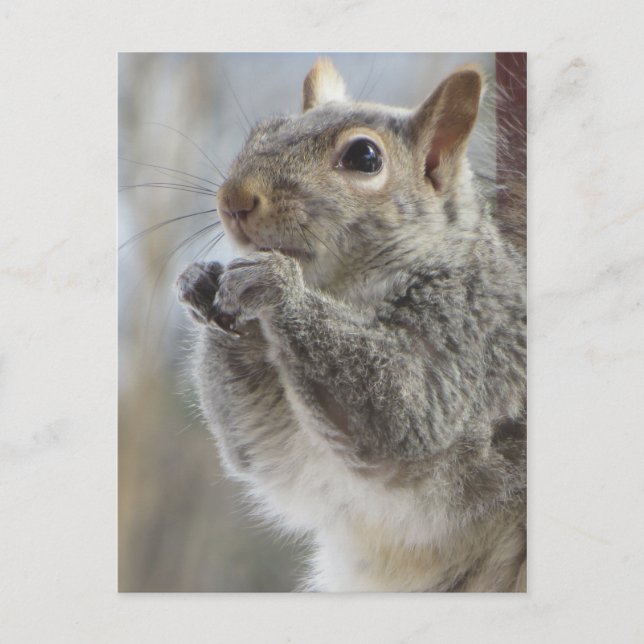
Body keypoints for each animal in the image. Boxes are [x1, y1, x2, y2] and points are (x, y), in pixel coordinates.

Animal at [176, 57, 526, 592]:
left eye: (365, 156)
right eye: (261, 132)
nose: (234, 199)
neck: (344, 293)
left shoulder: (469, 338)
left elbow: (407, 408)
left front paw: (275, 286)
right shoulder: (294, 447)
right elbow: (260, 447)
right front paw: (201, 281)